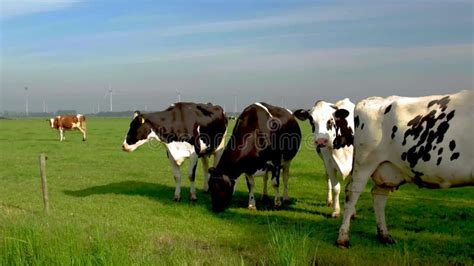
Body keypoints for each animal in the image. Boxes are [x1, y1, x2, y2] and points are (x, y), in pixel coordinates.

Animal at [336, 90, 474, 247]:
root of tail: (372, 100)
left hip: (387, 168)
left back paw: (384, 236)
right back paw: (343, 238)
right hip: (364, 163)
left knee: (378, 196)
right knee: (352, 193)